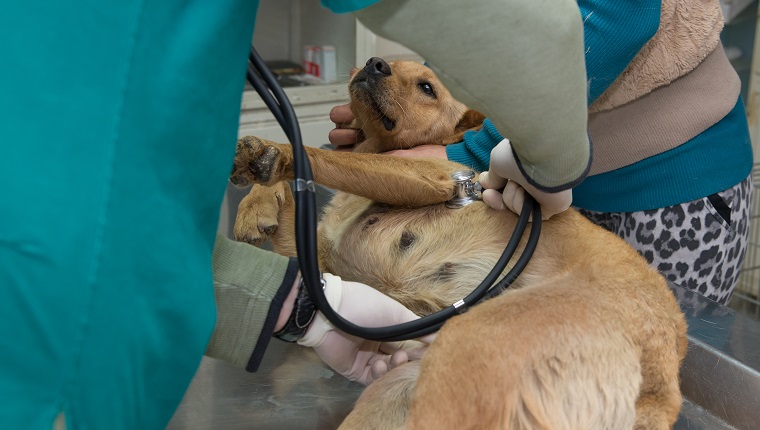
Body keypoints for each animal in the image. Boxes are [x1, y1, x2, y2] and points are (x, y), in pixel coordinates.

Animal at [229, 58, 684, 430]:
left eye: (428, 88)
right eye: (388, 63)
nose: (374, 62)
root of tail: (663, 377)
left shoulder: (429, 175)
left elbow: (317, 155)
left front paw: (271, 151)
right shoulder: (319, 263)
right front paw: (256, 202)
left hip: (468, 346)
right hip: (397, 391)